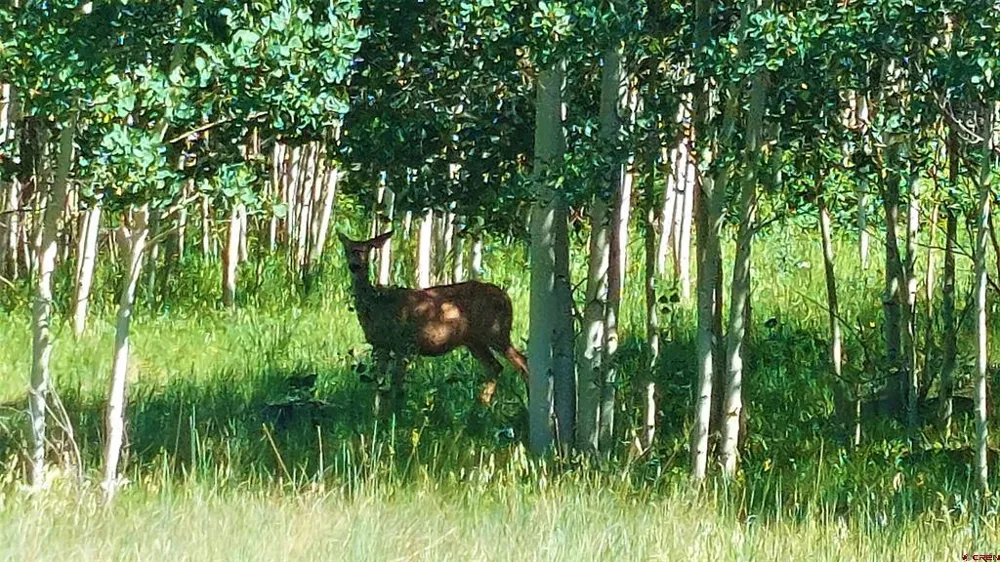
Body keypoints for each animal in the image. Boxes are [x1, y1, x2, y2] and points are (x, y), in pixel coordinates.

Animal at [338, 231, 529, 413]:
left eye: (366, 250)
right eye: (348, 250)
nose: (354, 266)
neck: (377, 306)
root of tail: (506, 298)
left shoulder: (404, 344)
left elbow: (396, 385)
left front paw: (394, 415)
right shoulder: (381, 345)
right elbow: (379, 382)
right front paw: (376, 415)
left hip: (495, 331)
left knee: (522, 362)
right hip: (474, 341)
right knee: (496, 367)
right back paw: (481, 408)